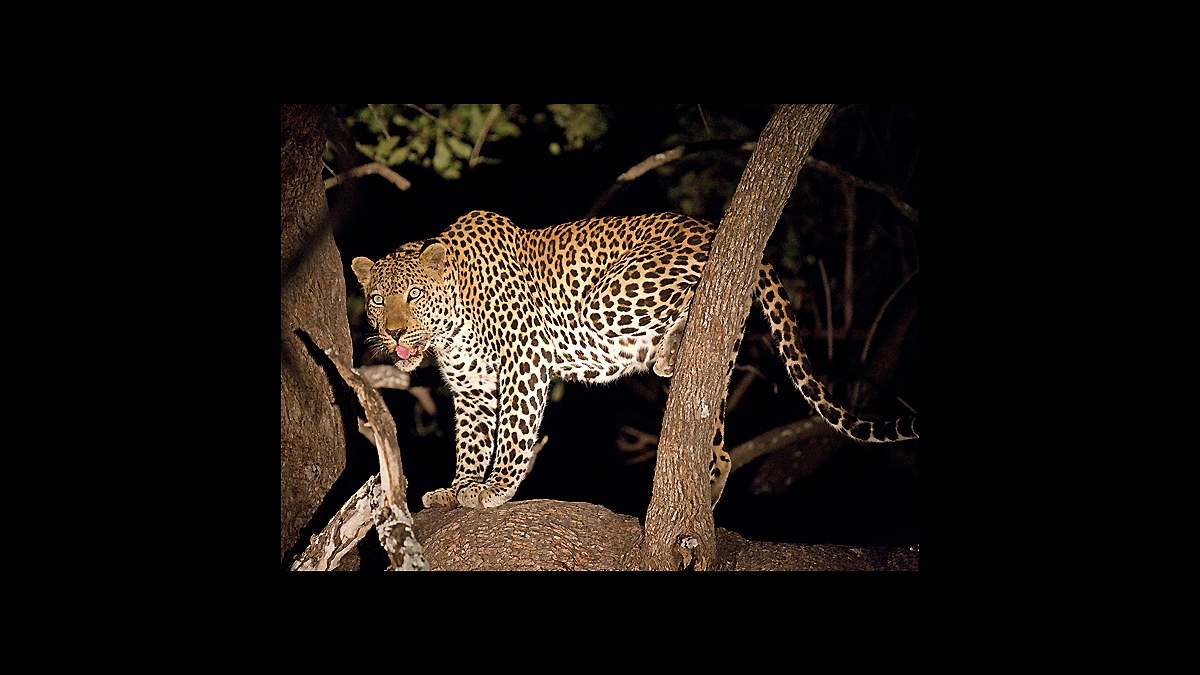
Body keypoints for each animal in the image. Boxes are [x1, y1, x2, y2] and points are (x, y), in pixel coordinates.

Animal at [351, 210, 918, 510]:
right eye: (378, 299)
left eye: (415, 295)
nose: (394, 331)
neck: (451, 327)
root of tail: (709, 226)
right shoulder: (470, 391)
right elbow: (471, 444)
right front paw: (458, 489)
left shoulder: (525, 365)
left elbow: (511, 436)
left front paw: (493, 490)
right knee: (718, 435)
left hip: (609, 299)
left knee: (691, 300)